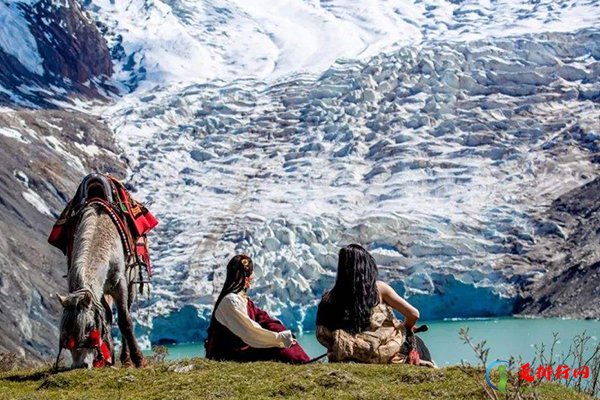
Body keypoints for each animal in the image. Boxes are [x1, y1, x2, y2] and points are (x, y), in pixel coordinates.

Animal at [57, 203, 144, 368]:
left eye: (90, 327)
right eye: (64, 329)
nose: (80, 365)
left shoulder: (119, 284)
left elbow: (124, 320)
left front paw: (139, 360)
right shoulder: (98, 294)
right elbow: (105, 318)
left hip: (131, 283)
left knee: (127, 310)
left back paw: (126, 359)